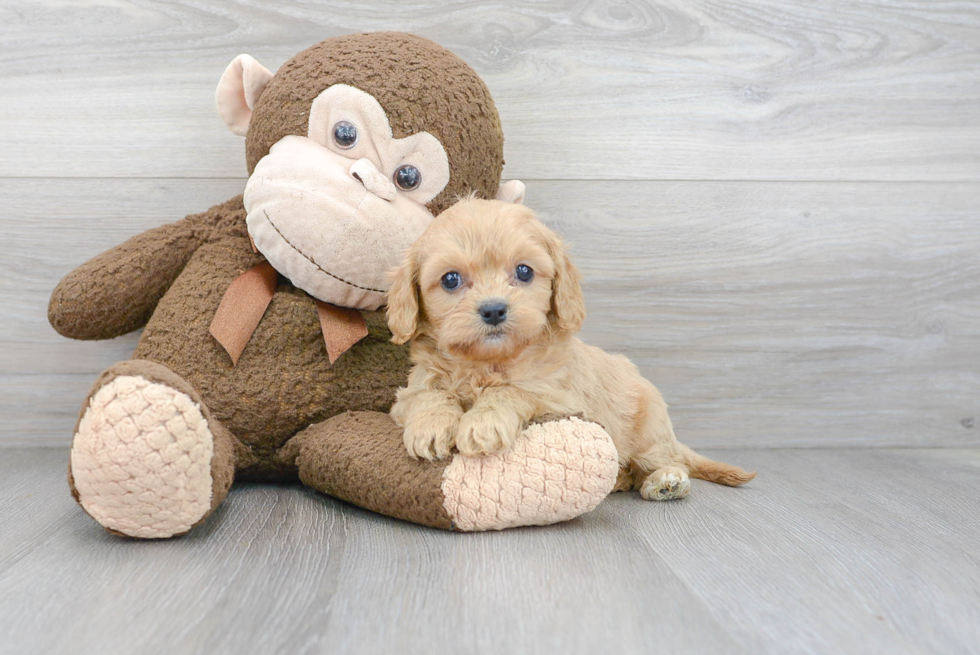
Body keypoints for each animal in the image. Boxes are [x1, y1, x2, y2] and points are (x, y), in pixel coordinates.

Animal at [386, 197, 756, 500]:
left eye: (524, 271)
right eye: (450, 279)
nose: (493, 310)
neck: (487, 363)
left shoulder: (559, 400)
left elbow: (513, 391)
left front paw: (483, 423)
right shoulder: (408, 393)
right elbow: (429, 394)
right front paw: (430, 426)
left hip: (650, 430)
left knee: (665, 460)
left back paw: (665, 481)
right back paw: (620, 479)